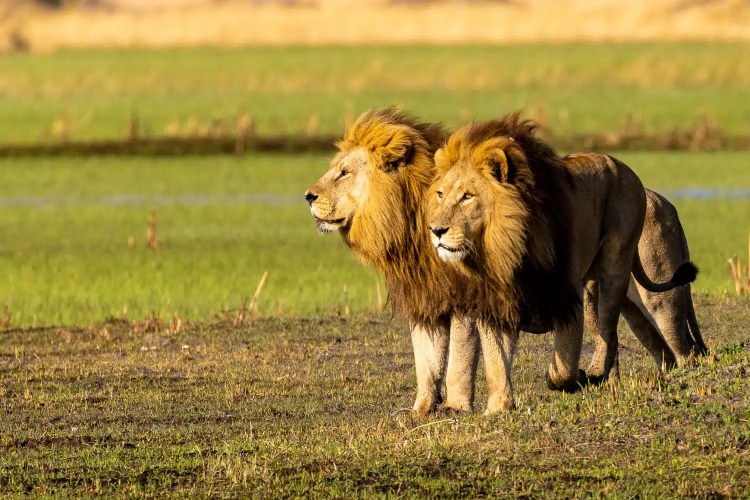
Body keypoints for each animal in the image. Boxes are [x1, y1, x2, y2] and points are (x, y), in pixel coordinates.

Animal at [426, 114, 698, 412]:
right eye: (440, 194)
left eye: (468, 196)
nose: (435, 230)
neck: (505, 252)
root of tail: (626, 168)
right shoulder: (495, 304)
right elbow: (496, 362)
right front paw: (498, 409)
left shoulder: (568, 298)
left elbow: (562, 367)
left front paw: (574, 378)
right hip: (598, 290)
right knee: (635, 340)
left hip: (622, 272)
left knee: (622, 330)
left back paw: (603, 372)